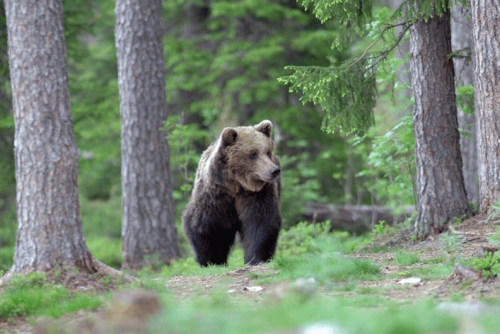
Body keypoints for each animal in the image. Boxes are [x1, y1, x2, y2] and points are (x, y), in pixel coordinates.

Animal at [183, 120, 282, 266]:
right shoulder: (214, 197)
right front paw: (211, 260)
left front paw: (255, 258)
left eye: (267, 151)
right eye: (253, 154)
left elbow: (261, 222)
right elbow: (205, 226)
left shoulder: (258, 194)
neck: (236, 186)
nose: (274, 170)